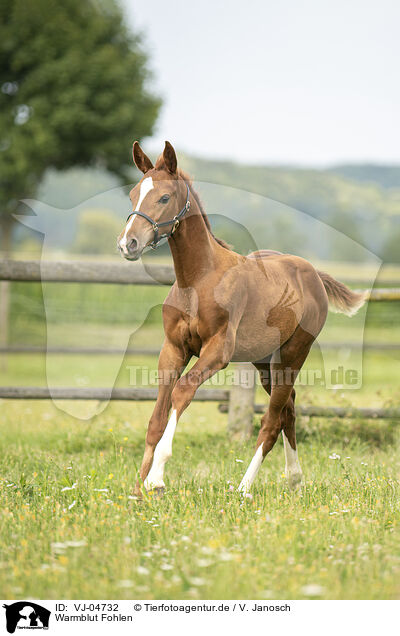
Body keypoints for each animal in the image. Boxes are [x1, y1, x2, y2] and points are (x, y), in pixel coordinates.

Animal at [117, 140, 364, 496]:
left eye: (164, 197)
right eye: (133, 194)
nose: (129, 244)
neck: (198, 280)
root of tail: (312, 272)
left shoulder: (217, 351)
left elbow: (182, 392)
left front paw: (156, 479)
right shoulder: (173, 349)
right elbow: (156, 418)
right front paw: (138, 489)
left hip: (293, 353)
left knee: (272, 420)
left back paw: (244, 487)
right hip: (264, 362)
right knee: (288, 408)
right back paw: (294, 479)